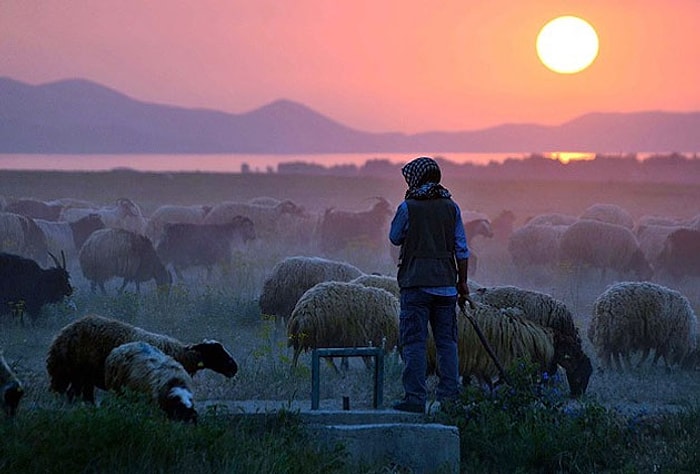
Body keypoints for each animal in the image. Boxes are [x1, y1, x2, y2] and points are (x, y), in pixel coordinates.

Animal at [46, 314, 239, 404]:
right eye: (216, 352)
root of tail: (61, 337)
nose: (234, 367)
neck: (181, 354)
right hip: (77, 373)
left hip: (81, 377)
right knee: (72, 395)